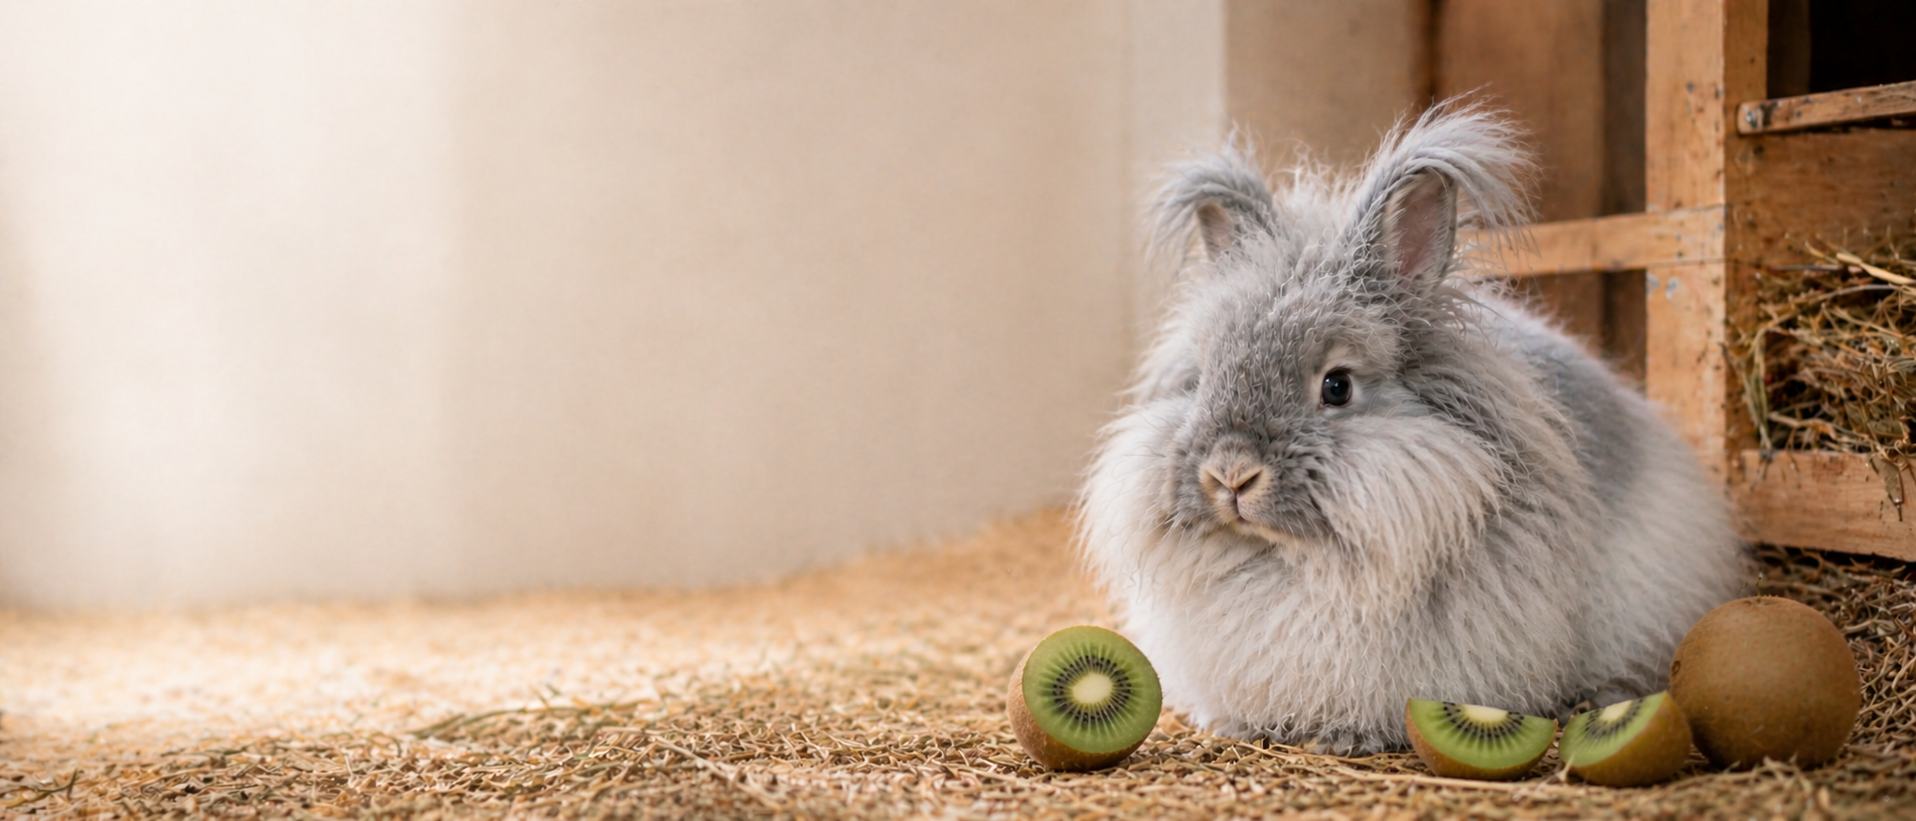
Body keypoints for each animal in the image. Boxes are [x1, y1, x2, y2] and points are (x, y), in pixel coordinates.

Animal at [1077, 106, 1747, 755]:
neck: (1291, 562)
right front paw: (1235, 725)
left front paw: (1345, 737)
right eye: (1202, 378)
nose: (1230, 473)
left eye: (1337, 386)